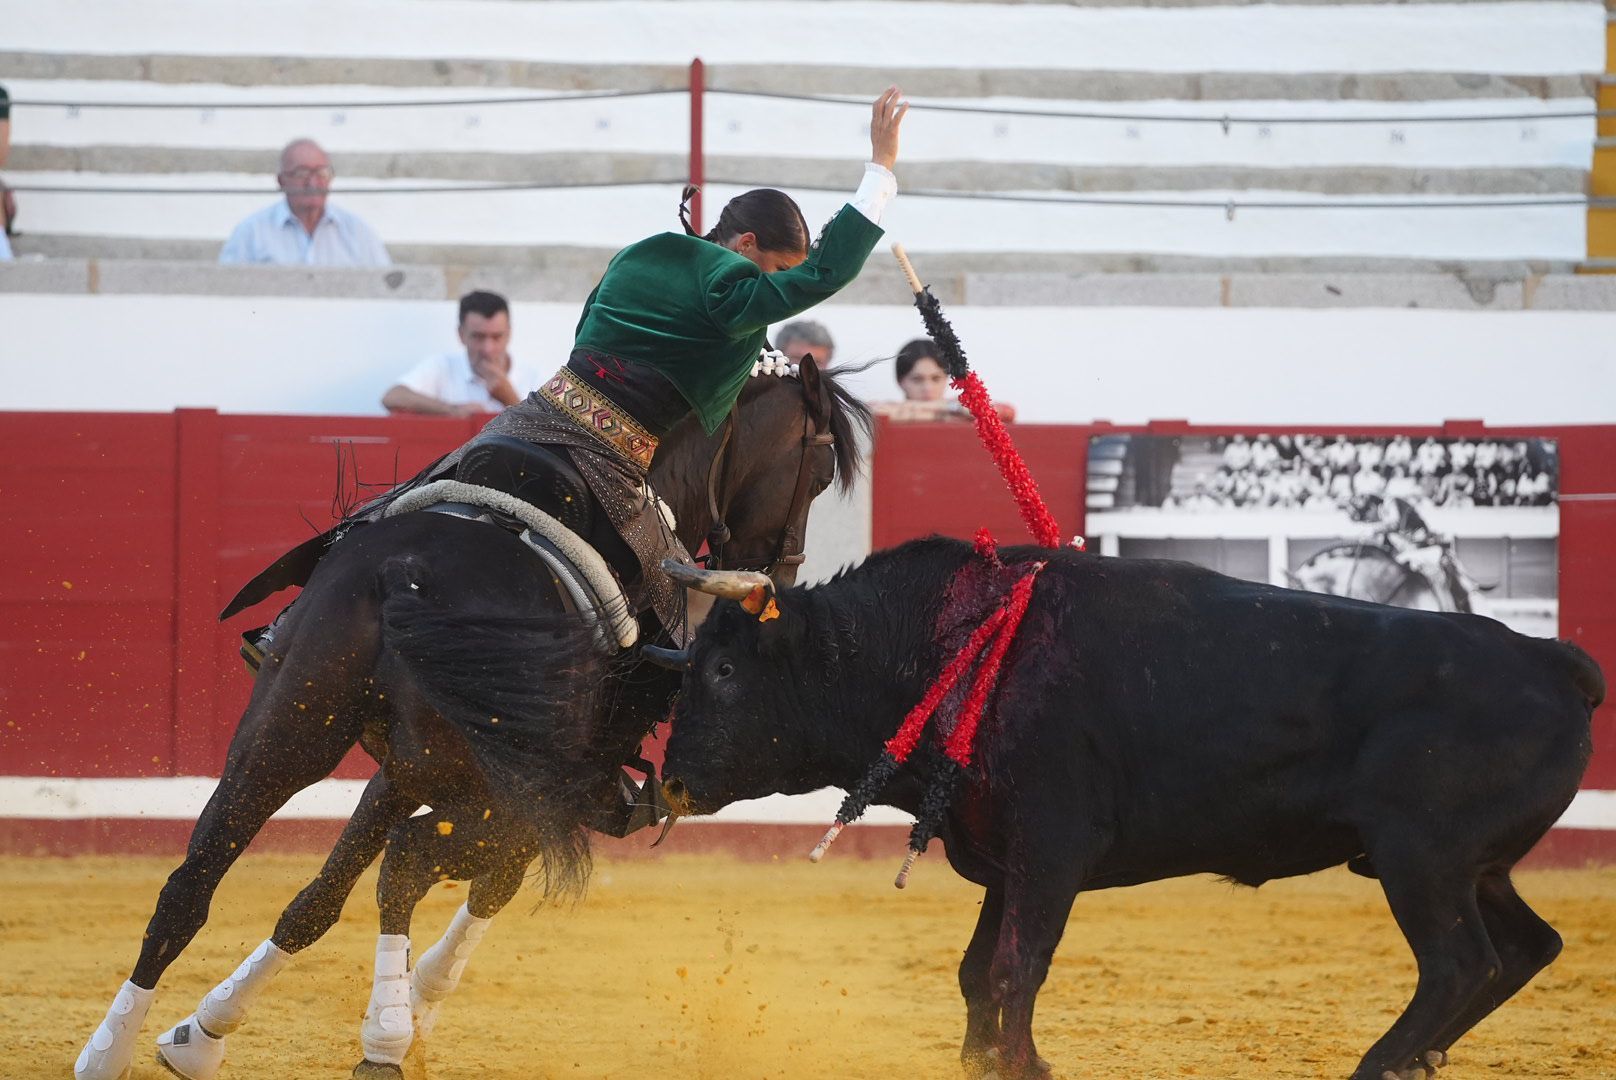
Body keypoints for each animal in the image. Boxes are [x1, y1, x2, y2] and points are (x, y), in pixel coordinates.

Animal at [75, 362, 872, 1080]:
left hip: (284, 731)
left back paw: (109, 1050)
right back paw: (384, 1044)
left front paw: (203, 1033)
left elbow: (318, 900)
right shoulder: (534, 798)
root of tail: (405, 573)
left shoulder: (402, 773)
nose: (780, 583)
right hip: (477, 783)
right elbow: (488, 883)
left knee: (194, 879)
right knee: (403, 863)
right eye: (819, 468)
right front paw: (414, 1008)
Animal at [656, 536, 1603, 1080]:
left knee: (1458, 964)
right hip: (1471, 866)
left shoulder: (1052, 847)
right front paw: (987, 1063)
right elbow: (977, 969)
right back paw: (1419, 1062)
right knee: (1529, 947)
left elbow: (1016, 966)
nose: (666, 783)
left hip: (1421, 859)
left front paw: (1026, 1066)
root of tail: (1553, 661)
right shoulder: (1006, 858)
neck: (949, 647)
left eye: (726, 671)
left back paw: (1380, 1066)